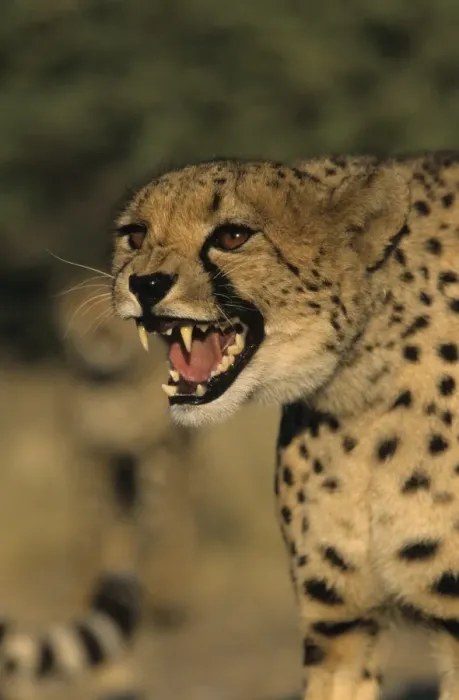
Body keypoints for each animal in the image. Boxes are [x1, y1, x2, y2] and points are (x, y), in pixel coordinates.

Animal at [0, 281, 199, 700]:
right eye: (84, 318)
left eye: (115, 321)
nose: (103, 340)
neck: (112, 387)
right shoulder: (91, 456)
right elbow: (93, 527)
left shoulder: (154, 454)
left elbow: (156, 525)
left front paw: (156, 594)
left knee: (179, 518)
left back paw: (170, 596)